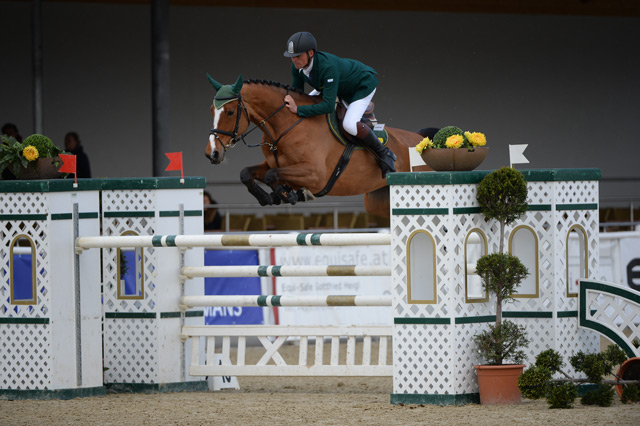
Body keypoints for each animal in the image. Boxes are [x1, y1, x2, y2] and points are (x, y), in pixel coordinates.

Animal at [205, 73, 424, 218]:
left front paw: (288, 194)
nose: (211, 154)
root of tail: (422, 141)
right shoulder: (274, 163)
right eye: (211, 110)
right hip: (380, 201)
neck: (286, 125)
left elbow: (271, 176)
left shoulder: (315, 174)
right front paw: (273, 197)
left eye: (230, 112)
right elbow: (247, 173)